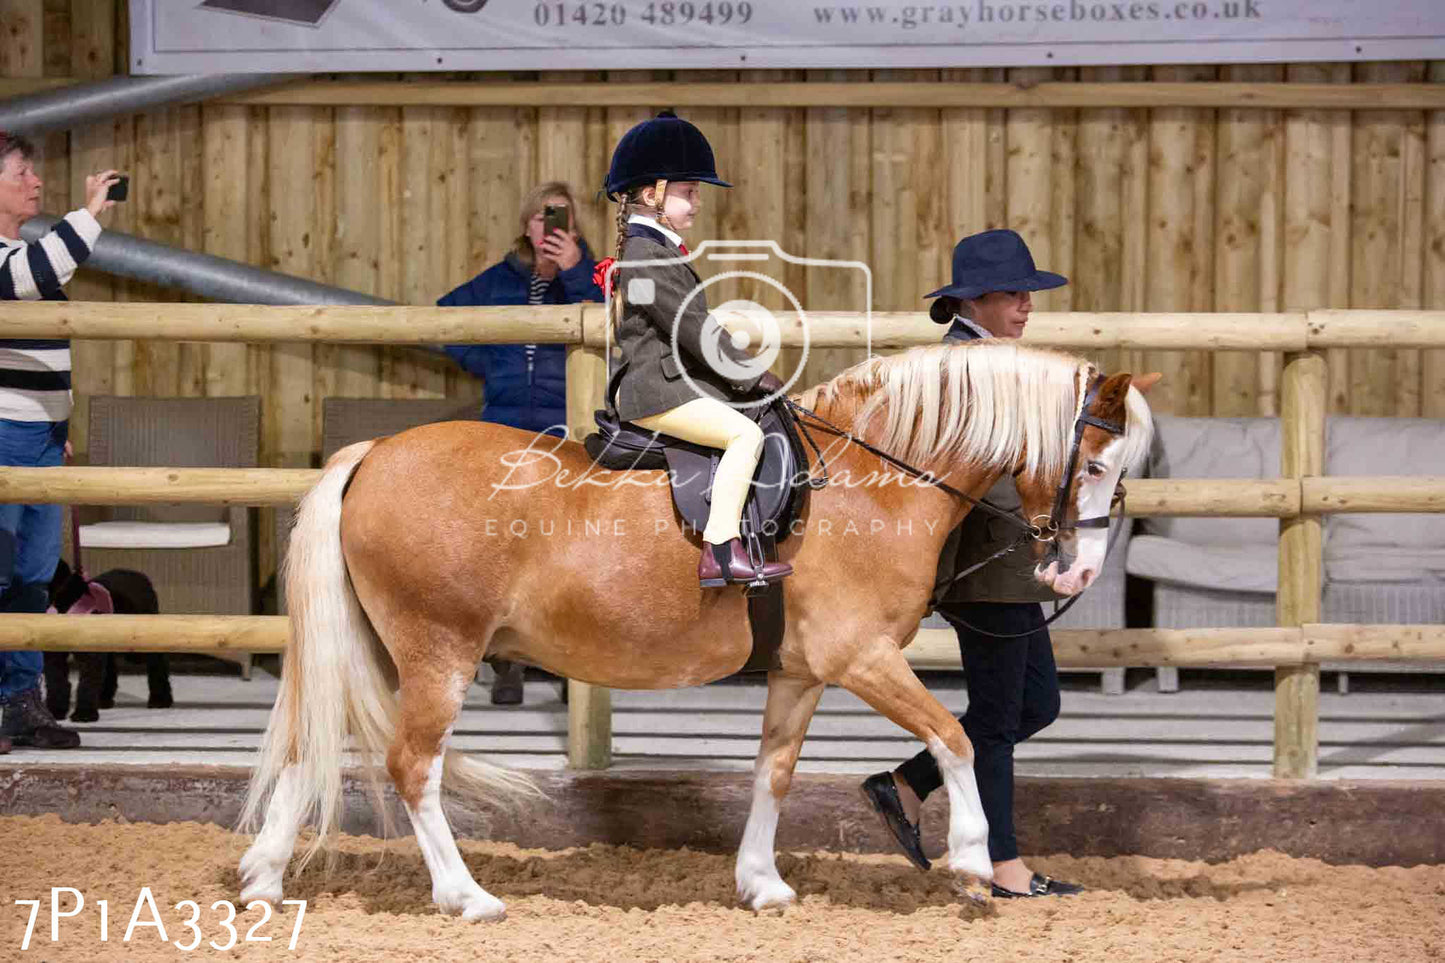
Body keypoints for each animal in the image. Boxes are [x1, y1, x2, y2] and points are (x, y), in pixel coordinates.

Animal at [242, 336, 1156, 913]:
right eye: (1095, 464)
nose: (1074, 574)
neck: (872, 481)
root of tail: (374, 454)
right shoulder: (861, 658)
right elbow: (956, 736)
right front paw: (969, 857)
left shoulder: (800, 670)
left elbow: (773, 772)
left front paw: (761, 883)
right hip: (439, 652)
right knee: (412, 767)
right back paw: (466, 897)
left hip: (379, 650)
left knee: (309, 748)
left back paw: (263, 881)